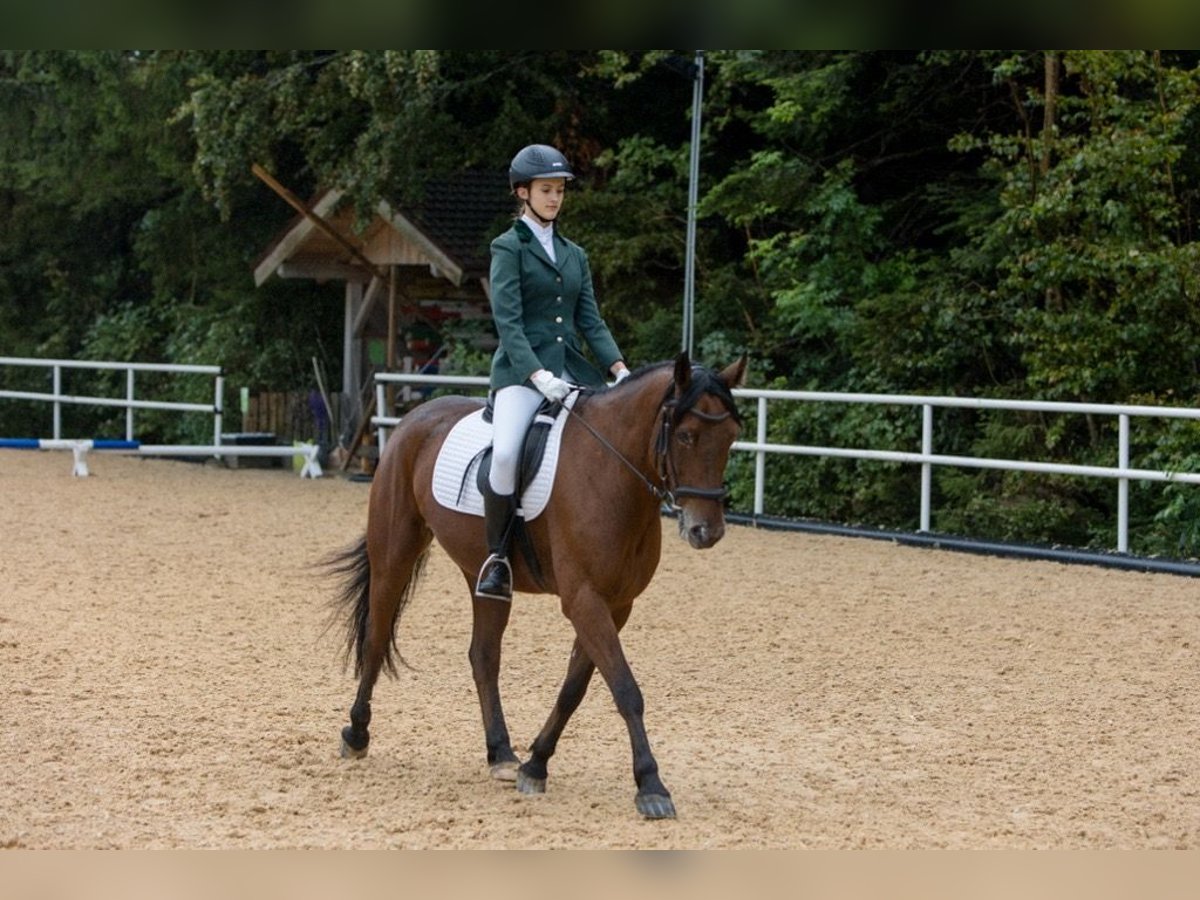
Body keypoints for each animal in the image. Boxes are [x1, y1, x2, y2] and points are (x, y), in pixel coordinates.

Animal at [327, 351, 746, 819]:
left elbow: (574, 689)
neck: (611, 470)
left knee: (483, 656)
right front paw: (651, 785)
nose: (707, 532)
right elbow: (625, 688)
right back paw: (356, 734)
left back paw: (500, 753)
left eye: (730, 438)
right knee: (377, 638)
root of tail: (414, 417)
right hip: (394, 554)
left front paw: (536, 764)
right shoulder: (584, 599)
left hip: (482, 575)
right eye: (687, 436)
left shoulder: (616, 604)